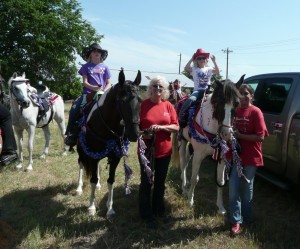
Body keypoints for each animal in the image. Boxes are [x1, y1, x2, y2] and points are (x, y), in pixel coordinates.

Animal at [75, 69, 141, 217]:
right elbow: (92, 180)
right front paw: (91, 207)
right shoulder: (92, 155)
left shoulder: (115, 157)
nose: (134, 134)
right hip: (82, 151)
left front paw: (110, 209)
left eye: (140, 100)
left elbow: (111, 181)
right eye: (122, 101)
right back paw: (79, 188)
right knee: (81, 164)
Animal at [178, 75, 244, 214]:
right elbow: (195, 178)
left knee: (186, 160)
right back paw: (184, 188)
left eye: (237, 103)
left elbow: (220, 181)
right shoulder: (198, 155)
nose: (226, 134)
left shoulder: (221, 157)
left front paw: (221, 207)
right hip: (182, 140)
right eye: (219, 102)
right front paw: (190, 201)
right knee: (183, 163)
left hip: (191, 147)